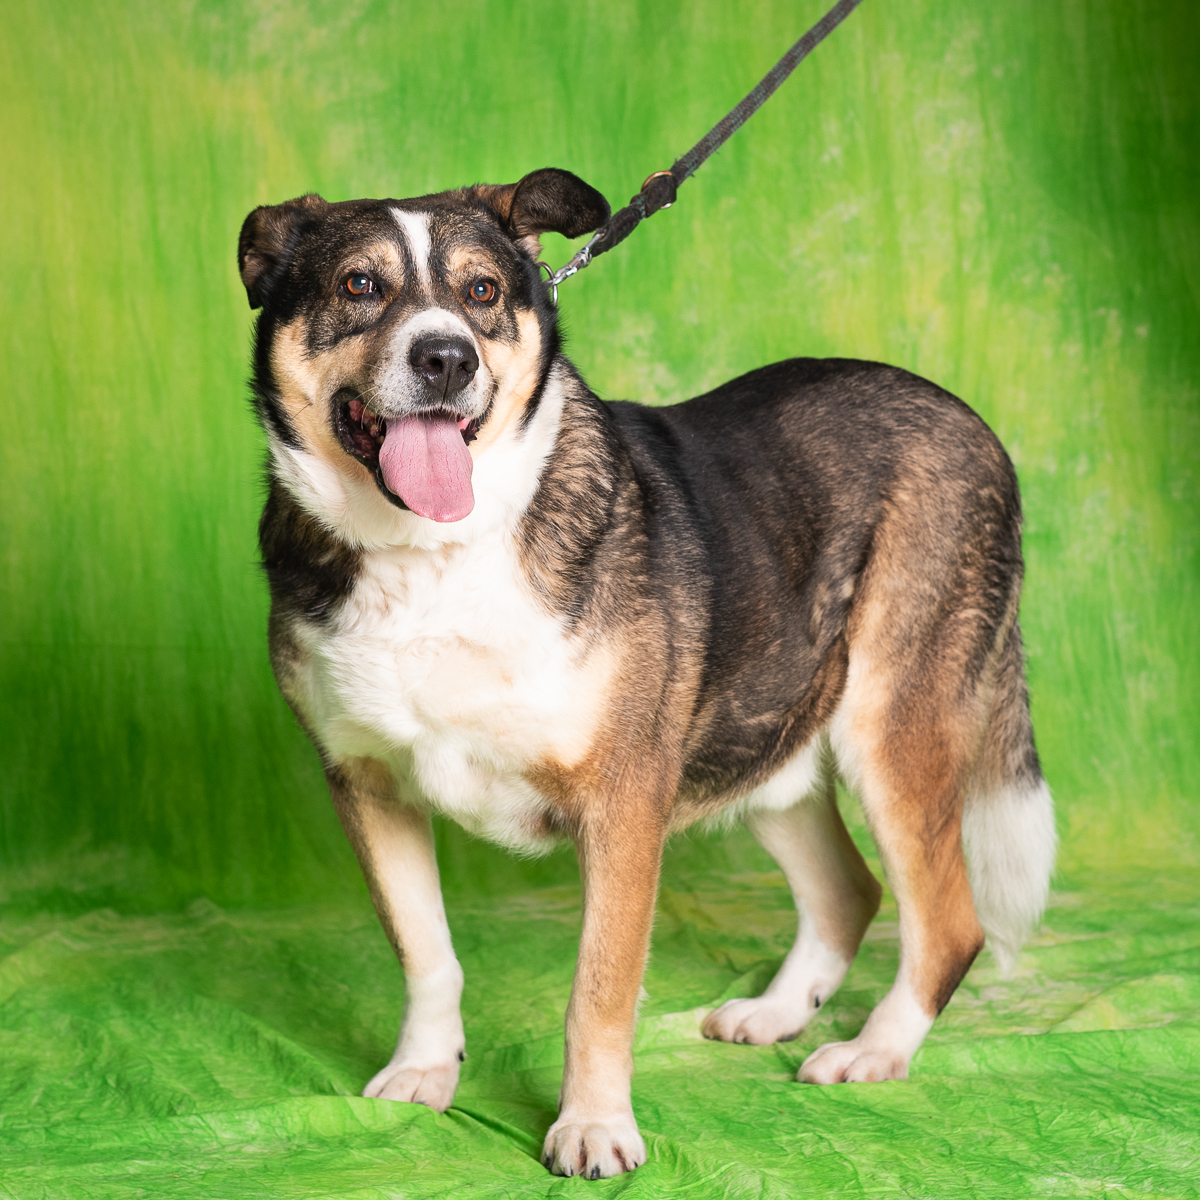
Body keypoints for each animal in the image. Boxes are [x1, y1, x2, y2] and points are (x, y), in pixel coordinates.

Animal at [237, 168, 1056, 1179]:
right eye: (360, 285)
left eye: (482, 292)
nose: (446, 360)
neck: (435, 552)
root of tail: (969, 419)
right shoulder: (367, 785)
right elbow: (426, 953)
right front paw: (426, 1070)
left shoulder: (624, 801)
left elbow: (599, 989)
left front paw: (593, 1126)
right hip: (759, 740)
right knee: (848, 890)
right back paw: (776, 1012)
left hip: (889, 727)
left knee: (947, 921)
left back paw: (874, 1050)